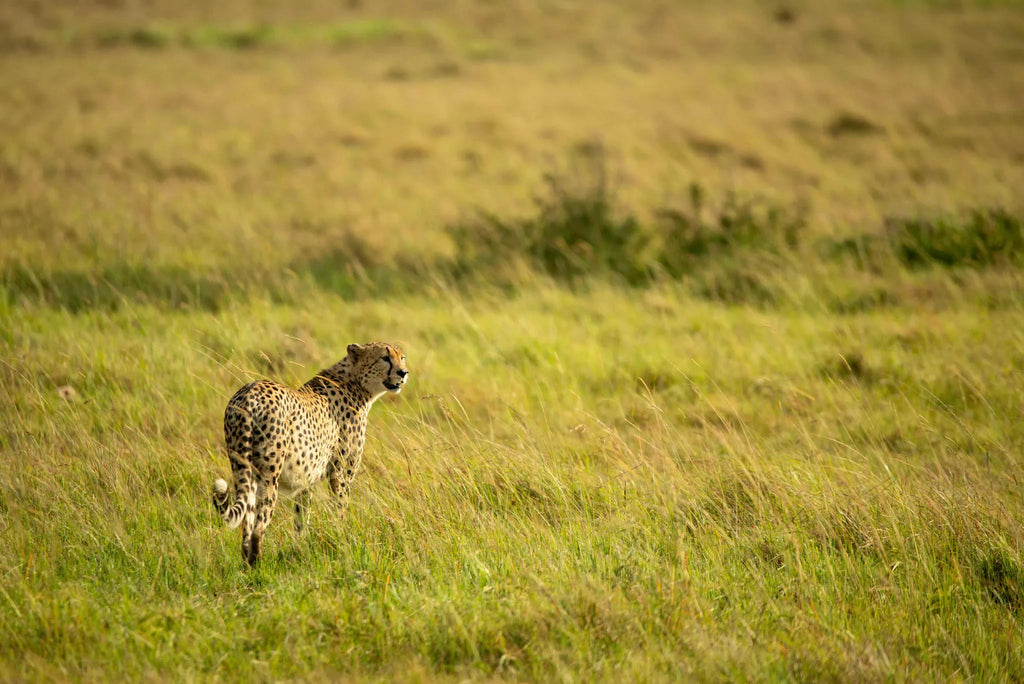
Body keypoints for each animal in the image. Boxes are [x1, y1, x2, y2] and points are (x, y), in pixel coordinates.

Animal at [211, 342, 408, 565]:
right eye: (385, 358)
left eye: (402, 358)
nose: (403, 373)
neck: (355, 382)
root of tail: (250, 392)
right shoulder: (341, 475)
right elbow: (340, 509)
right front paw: (343, 538)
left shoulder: (306, 479)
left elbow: (301, 518)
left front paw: (300, 549)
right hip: (269, 476)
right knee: (258, 527)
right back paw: (258, 567)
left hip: (243, 468)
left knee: (247, 523)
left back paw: (247, 565)